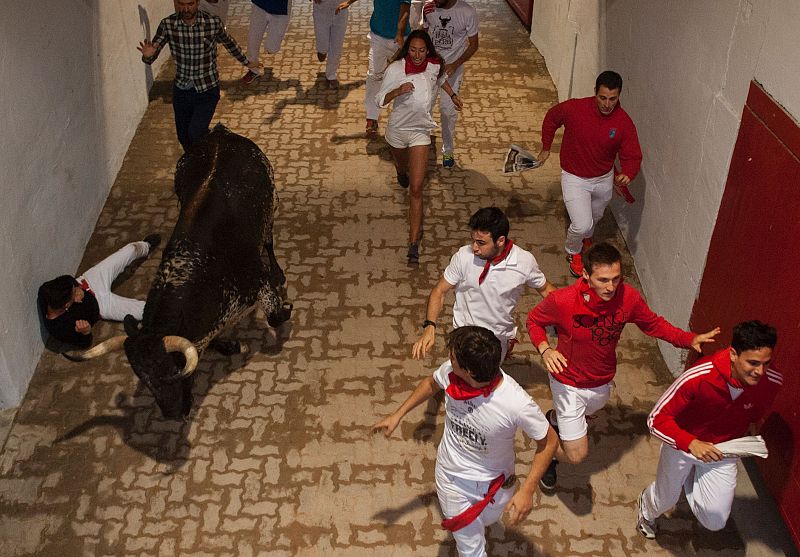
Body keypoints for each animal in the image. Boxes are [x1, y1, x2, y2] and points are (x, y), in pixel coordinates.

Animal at [64, 124, 292, 414]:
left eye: (173, 368)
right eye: (143, 379)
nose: (172, 414)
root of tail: (220, 133)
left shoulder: (259, 283)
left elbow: (275, 316)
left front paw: (285, 308)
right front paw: (227, 344)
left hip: (272, 198)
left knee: (268, 239)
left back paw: (277, 270)